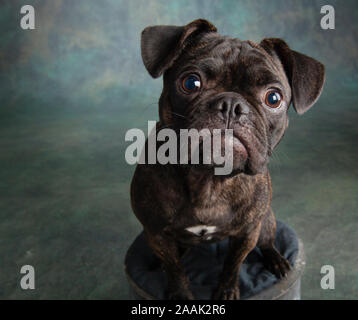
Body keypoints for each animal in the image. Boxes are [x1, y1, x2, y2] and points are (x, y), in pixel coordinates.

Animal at [131, 19, 324, 300]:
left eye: (273, 98)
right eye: (191, 83)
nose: (231, 104)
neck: (209, 177)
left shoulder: (247, 233)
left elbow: (233, 264)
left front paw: (226, 291)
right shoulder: (156, 234)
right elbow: (175, 269)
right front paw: (179, 295)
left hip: (266, 221)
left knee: (268, 242)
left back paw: (277, 261)